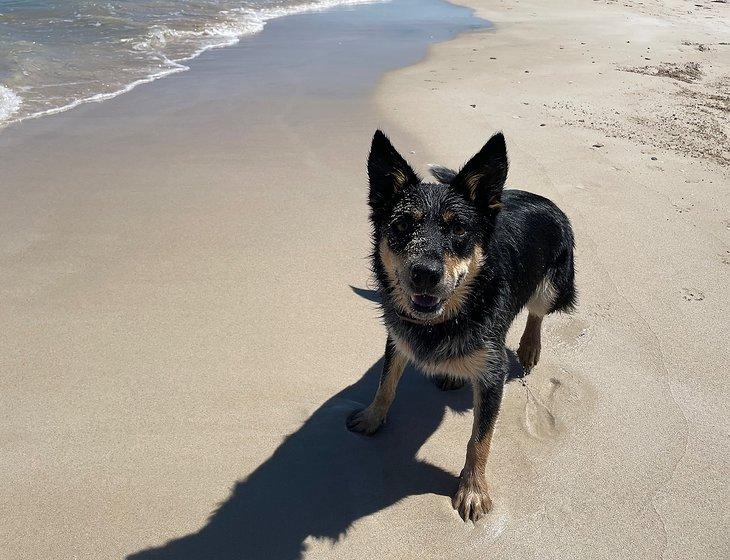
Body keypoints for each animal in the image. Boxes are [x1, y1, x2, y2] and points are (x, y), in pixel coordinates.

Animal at [346, 130, 576, 520]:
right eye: (402, 225)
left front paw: (472, 489)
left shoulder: (493, 373)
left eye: (459, 228)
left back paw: (530, 346)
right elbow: (385, 385)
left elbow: (479, 440)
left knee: (537, 311)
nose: (424, 274)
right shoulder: (398, 338)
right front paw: (373, 417)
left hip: (553, 284)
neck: (446, 318)